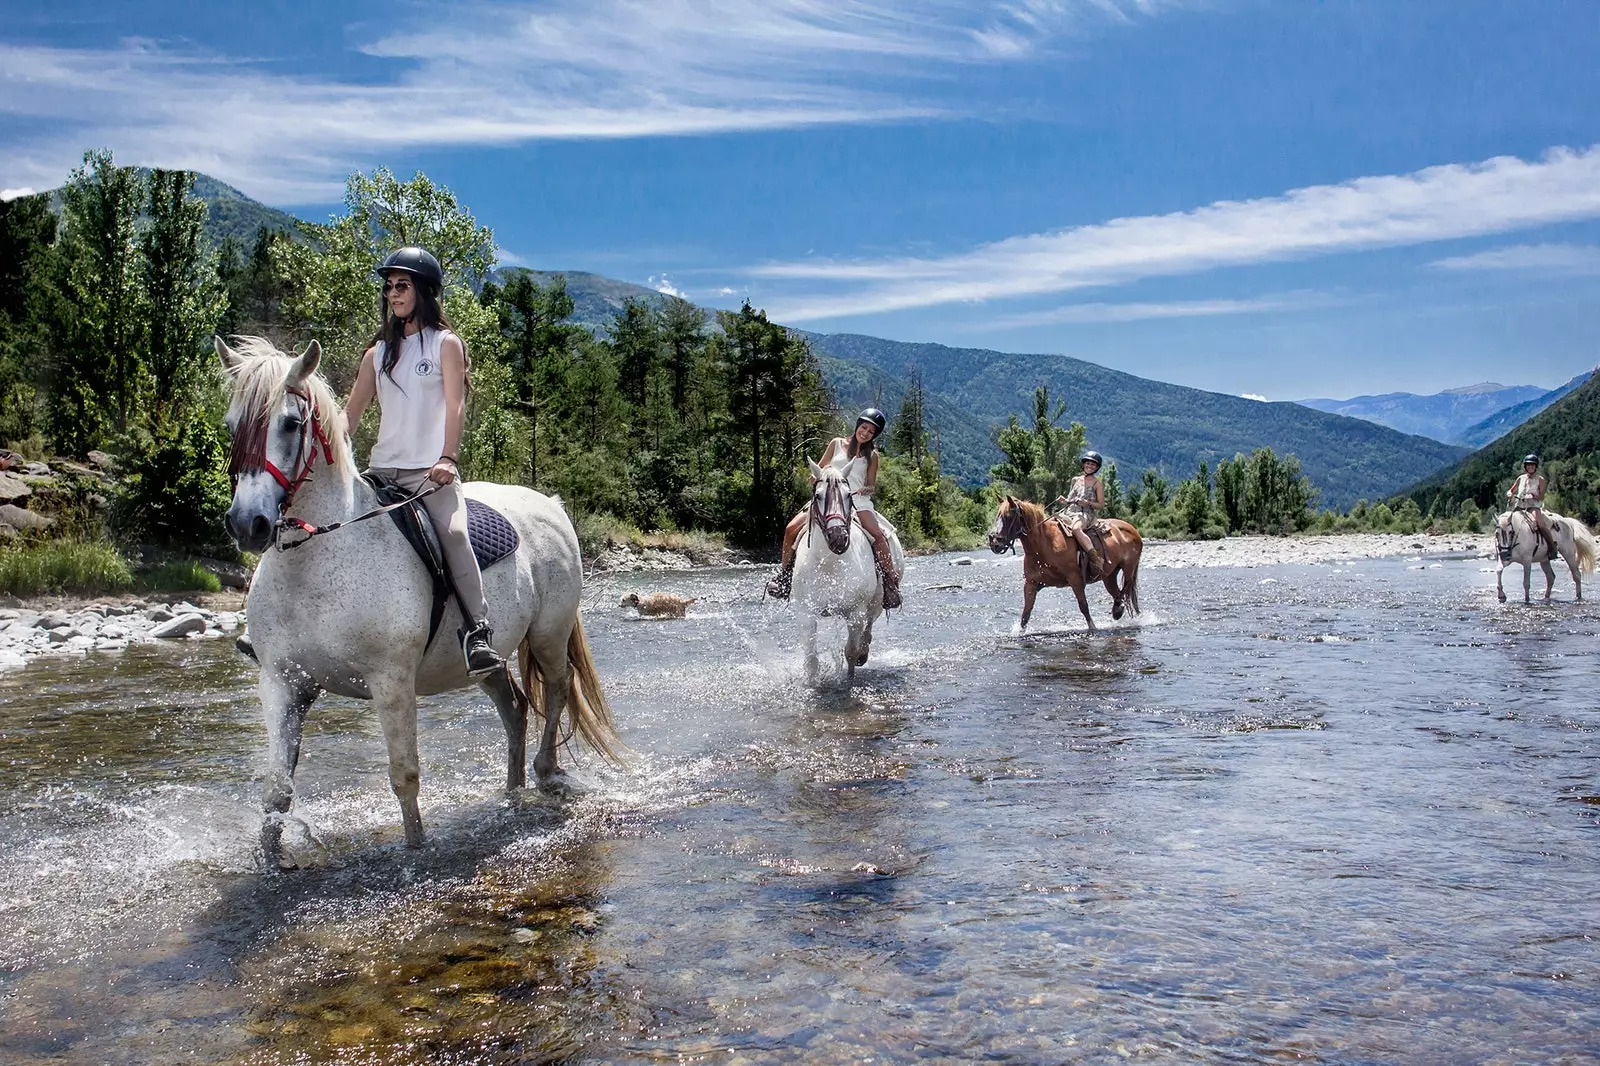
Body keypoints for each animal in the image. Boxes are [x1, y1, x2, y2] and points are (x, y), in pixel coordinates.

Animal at [222, 336, 620, 851]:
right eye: (232, 424)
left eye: (290, 423)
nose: (247, 524)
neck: (314, 562)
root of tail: (549, 504)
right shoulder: (282, 683)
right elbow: (276, 792)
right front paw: (269, 860)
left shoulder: (391, 682)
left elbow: (404, 777)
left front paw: (415, 850)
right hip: (484, 660)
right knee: (514, 708)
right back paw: (510, 794)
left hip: (549, 634)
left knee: (556, 687)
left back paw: (545, 772)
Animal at [793, 454, 908, 685]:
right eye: (818, 495)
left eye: (848, 495)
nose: (838, 538)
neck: (829, 563)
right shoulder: (806, 613)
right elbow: (811, 658)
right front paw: (811, 683)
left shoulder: (855, 613)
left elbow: (850, 652)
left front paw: (849, 680)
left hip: (877, 603)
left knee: (869, 627)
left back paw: (865, 652)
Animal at [979, 496, 1145, 633]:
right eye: (997, 515)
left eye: (1009, 516)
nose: (994, 541)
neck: (1044, 544)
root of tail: (1132, 529)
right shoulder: (1031, 584)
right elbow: (1026, 613)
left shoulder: (1075, 579)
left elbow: (1083, 606)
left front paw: (1093, 627)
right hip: (1109, 576)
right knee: (1117, 593)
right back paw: (1118, 610)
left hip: (1129, 568)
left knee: (1126, 588)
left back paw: (1117, 611)